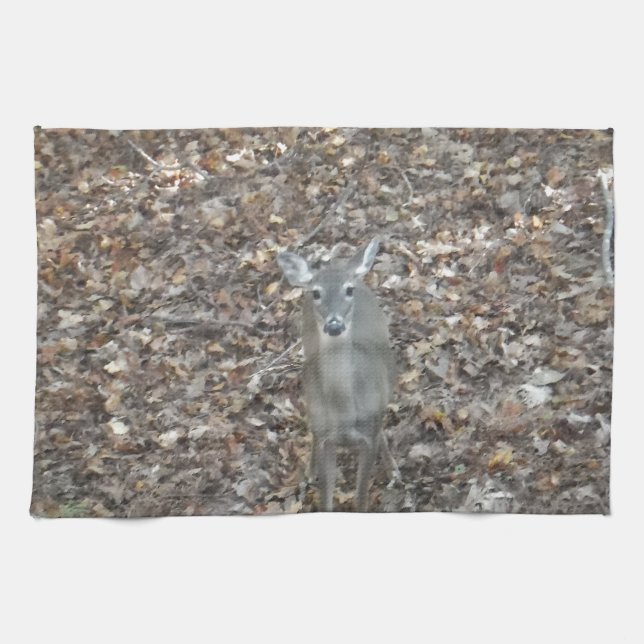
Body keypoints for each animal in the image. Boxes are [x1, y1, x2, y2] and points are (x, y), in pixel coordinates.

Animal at [277, 238, 397, 511]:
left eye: (348, 290)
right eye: (316, 292)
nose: (334, 324)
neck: (344, 413)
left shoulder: (368, 438)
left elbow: (361, 499)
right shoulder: (326, 440)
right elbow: (326, 501)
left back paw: (393, 468)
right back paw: (309, 472)